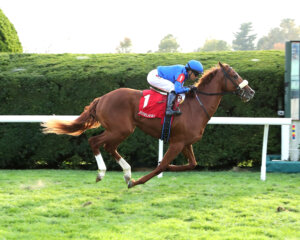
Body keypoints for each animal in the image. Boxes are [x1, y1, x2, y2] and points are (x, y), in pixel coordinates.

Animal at [41, 62, 253, 189]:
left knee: (109, 146)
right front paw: (137, 181)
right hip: (121, 129)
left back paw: (127, 173)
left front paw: (167, 167)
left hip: (119, 130)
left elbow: (191, 164)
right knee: (96, 142)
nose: (251, 92)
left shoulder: (186, 142)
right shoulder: (177, 143)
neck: (196, 107)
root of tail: (101, 98)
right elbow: (162, 166)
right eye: (234, 75)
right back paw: (104, 173)